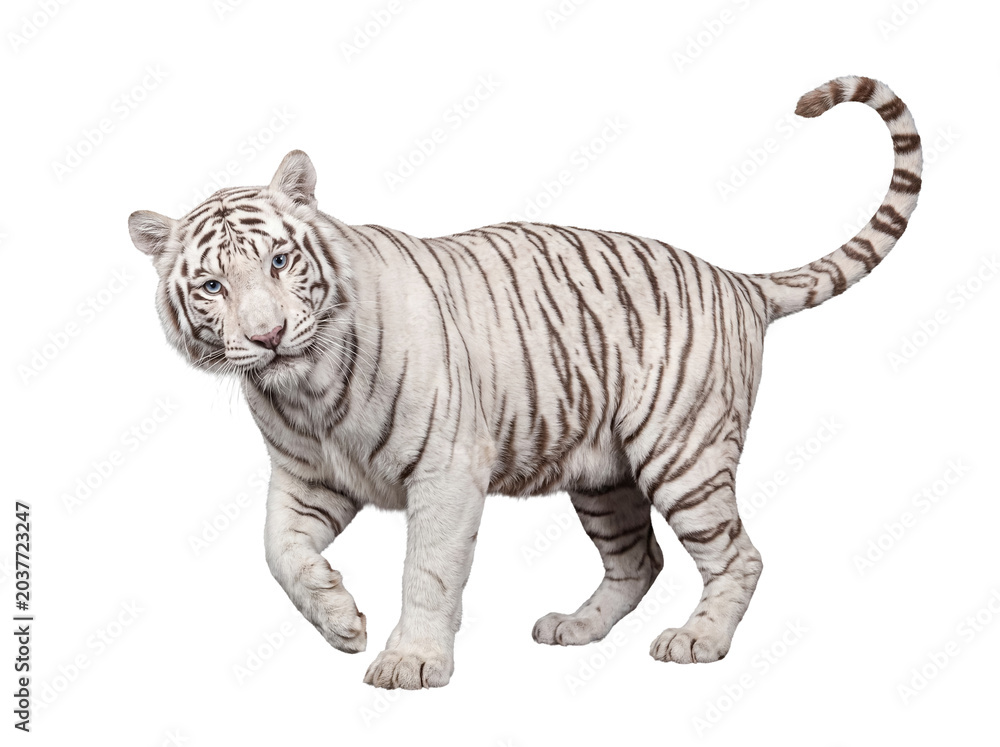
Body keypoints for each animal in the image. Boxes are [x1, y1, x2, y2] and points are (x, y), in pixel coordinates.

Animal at [128, 76, 921, 689]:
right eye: (211, 285)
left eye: (281, 261)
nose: (265, 334)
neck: (307, 391)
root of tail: (736, 279)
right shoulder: (307, 479)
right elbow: (277, 552)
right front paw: (339, 616)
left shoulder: (446, 470)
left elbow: (428, 570)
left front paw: (410, 662)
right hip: (604, 476)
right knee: (640, 558)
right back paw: (576, 626)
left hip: (684, 454)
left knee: (738, 554)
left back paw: (698, 641)